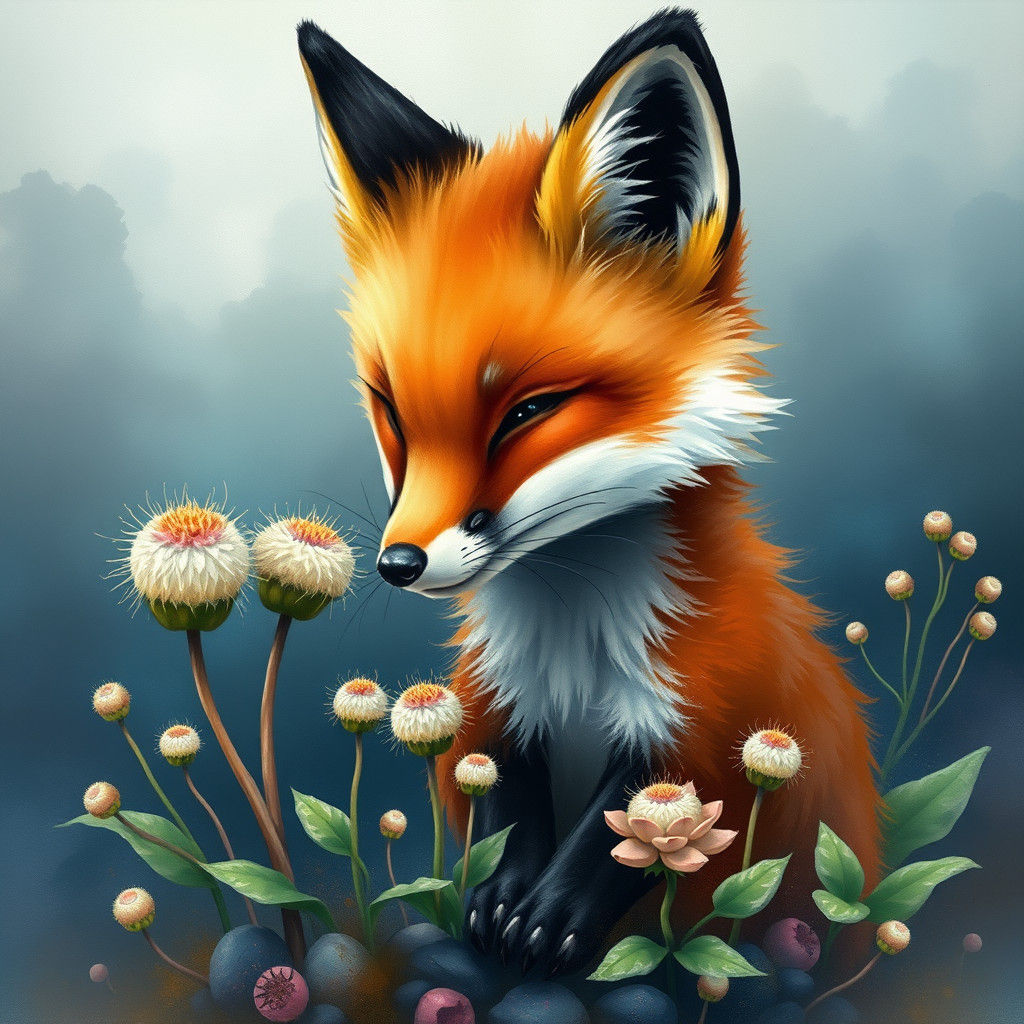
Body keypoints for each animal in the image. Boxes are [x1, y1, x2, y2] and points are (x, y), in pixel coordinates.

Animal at [297, 8, 880, 977]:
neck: (569, 650)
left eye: (527, 411)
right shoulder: (494, 707)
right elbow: (504, 805)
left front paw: (548, 919)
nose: (399, 564)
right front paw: (501, 900)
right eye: (392, 412)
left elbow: (627, 835)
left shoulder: (702, 714)